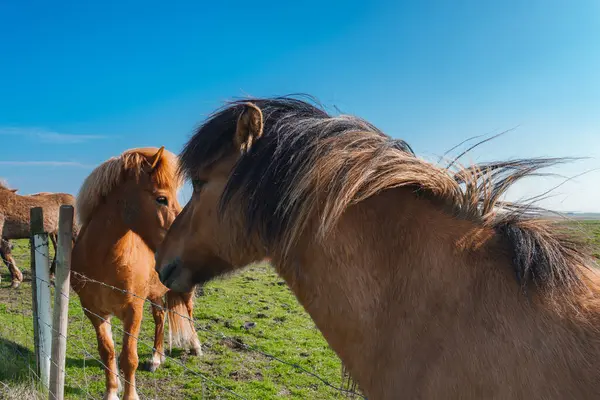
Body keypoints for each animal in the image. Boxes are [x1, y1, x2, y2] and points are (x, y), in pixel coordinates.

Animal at [71, 147, 203, 400]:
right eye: (161, 198)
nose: (183, 245)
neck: (103, 261)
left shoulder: (133, 311)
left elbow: (128, 359)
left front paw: (129, 395)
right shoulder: (95, 312)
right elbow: (107, 353)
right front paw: (111, 392)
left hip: (183, 292)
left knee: (189, 313)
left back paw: (195, 346)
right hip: (154, 294)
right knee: (160, 318)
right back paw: (156, 358)